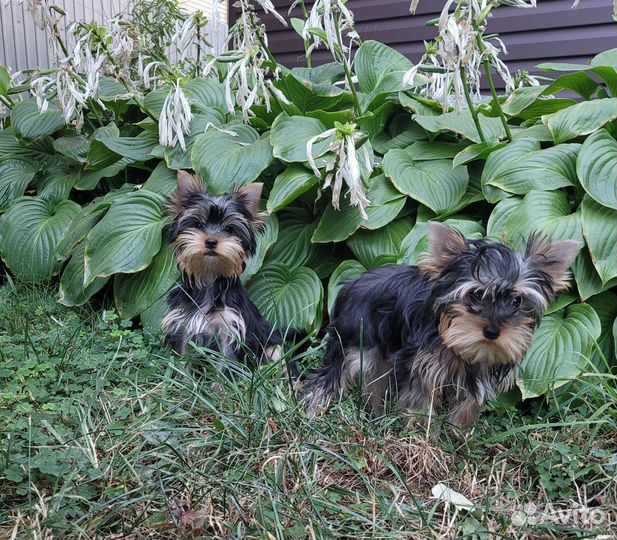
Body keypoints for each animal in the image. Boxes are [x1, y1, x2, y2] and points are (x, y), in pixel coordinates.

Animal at [161, 172, 282, 368]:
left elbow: (226, 364)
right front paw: (181, 375)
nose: (211, 241)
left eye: (229, 228)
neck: (209, 276)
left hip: (273, 346)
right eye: (198, 225)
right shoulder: (185, 324)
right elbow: (183, 358)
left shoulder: (231, 329)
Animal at [306, 223, 580, 426]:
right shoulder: (424, 366)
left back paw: (378, 414)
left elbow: (469, 405)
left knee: (376, 380)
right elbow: (420, 401)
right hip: (355, 340)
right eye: (475, 295)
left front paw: (459, 434)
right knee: (334, 372)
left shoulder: (480, 374)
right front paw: (421, 436)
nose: (493, 331)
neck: (458, 343)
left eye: (516, 300)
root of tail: (352, 283)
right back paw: (314, 408)